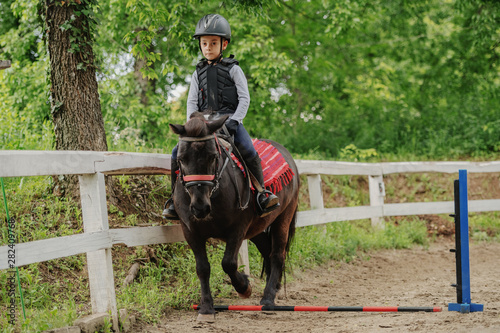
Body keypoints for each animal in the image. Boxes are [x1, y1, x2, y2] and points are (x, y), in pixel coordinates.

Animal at [170, 113, 298, 320]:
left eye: (213, 157)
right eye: (181, 158)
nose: (200, 207)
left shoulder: (238, 229)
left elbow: (228, 263)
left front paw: (244, 287)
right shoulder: (191, 231)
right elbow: (202, 268)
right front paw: (206, 308)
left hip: (283, 219)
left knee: (278, 255)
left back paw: (268, 299)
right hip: (257, 229)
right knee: (268, 252)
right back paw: (273, 288)